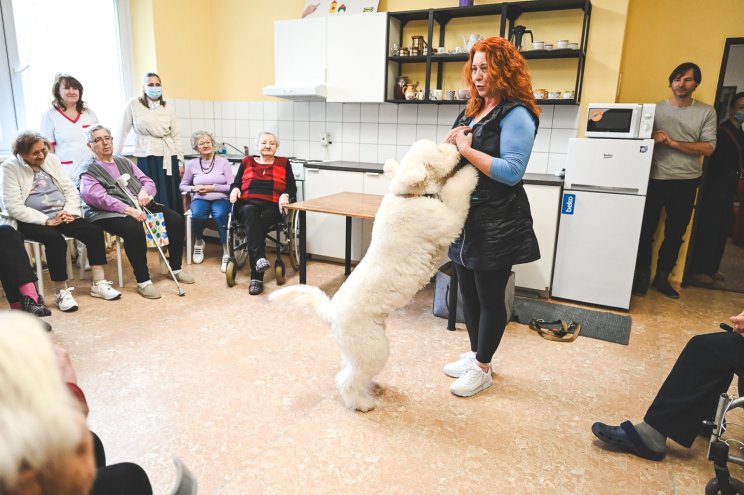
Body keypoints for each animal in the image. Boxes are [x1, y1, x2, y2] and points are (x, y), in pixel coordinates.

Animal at [268, 139, 476, 410]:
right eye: (439, 151)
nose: (456, 142)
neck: (408, 197)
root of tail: (332, 313)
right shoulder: (447, 221)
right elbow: (457, 192)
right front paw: (471, 171)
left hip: (358, 350)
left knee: (348, 370)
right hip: (374, 348)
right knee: (347, 380)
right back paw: (361, 403)